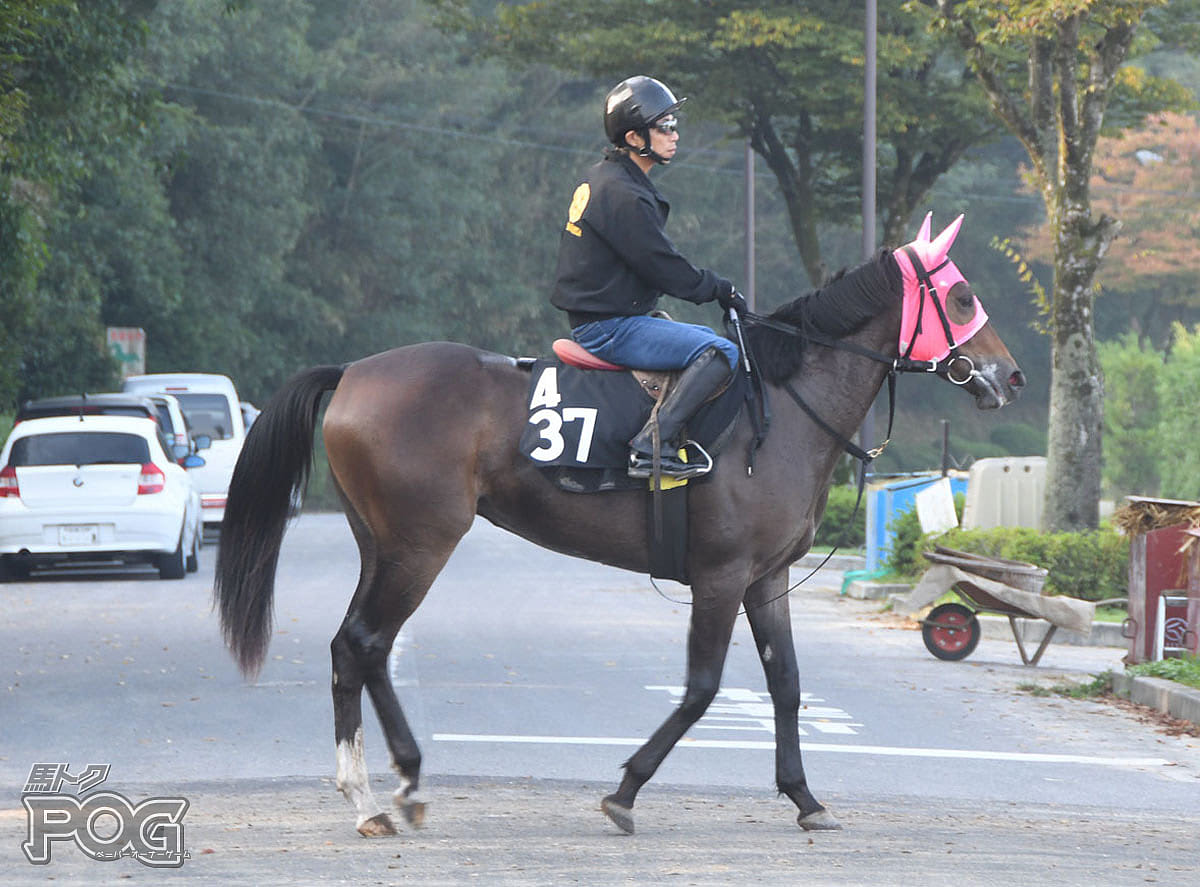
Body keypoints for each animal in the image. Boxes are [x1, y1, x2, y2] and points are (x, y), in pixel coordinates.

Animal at [213, 214, 1022, 840]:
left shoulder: (767, 578)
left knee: (356, 649)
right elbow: (702, 688)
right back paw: (391, 788)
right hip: (421, 546)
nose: (1010, 377)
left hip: (383, 546)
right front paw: (626, 789)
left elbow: (787, 685)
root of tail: (354, 372)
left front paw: (804, 797)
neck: (782, 403)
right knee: (366, 642)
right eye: (961, 295)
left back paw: (377, 792)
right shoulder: (721, 576)